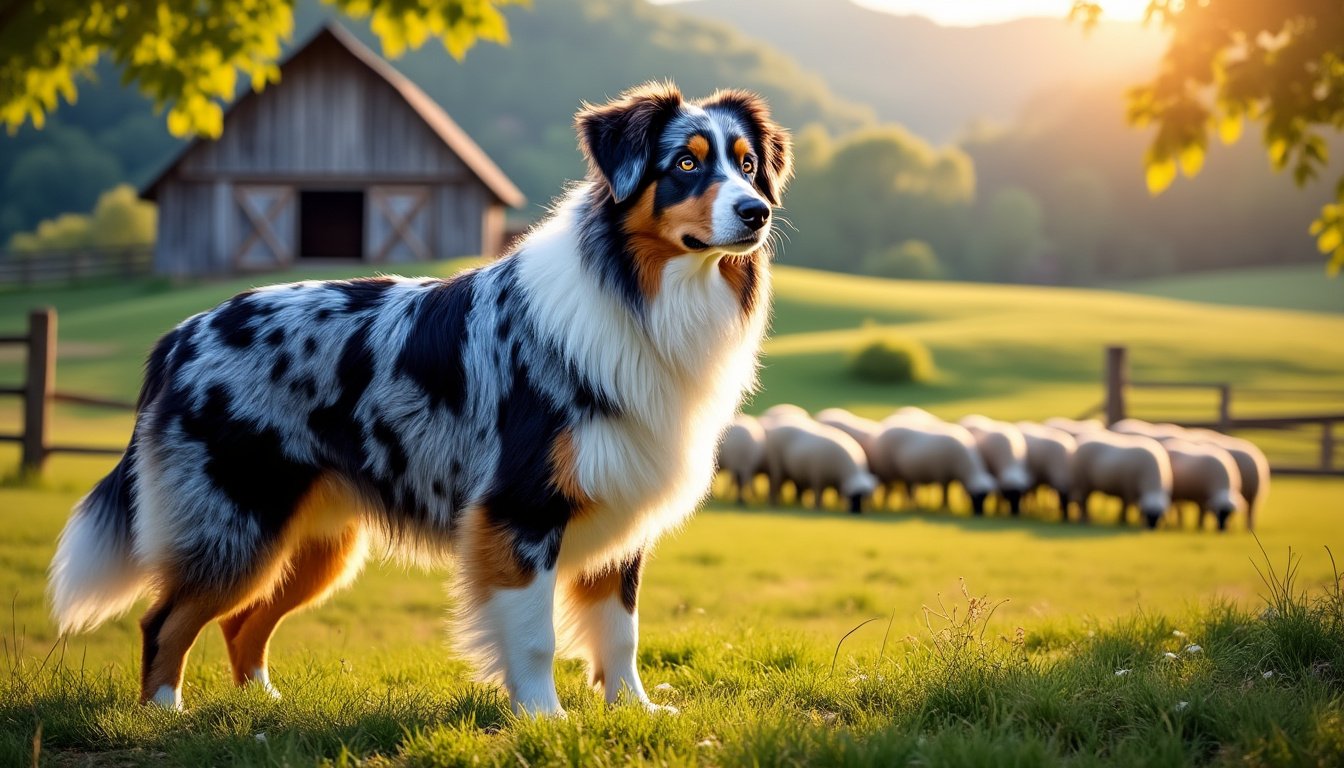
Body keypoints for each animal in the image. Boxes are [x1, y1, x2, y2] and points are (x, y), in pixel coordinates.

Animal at [47, 82, 790, 715]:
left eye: (748, 164)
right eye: (686, 164)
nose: (758, 212)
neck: (644, 292)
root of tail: (182, 333)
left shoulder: (620, 500)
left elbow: (621, 630)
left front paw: (632, 712)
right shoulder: (519, 511)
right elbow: (535, 635)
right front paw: (545, 720)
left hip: (318, 544)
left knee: (240, 624)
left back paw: (260, 705)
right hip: (237, 521)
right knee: (164, 619)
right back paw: (165, 715)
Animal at [870, 419, 999, 516]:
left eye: (987, 496)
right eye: (976, 497)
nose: (979, 513)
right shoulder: (942, 476)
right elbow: (944, 495)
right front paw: (945, 508)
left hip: (907, 474)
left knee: (909, 490)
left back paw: (914, 505)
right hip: (887, 472)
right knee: (889, 490)